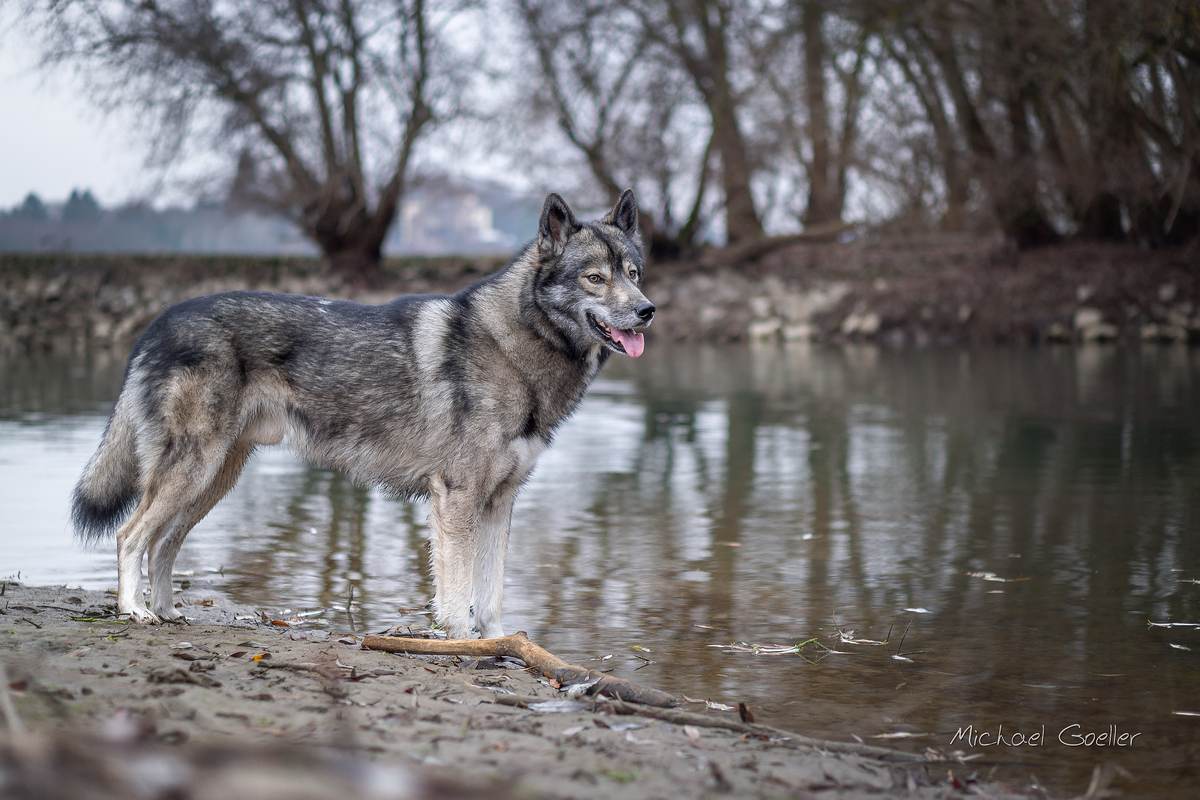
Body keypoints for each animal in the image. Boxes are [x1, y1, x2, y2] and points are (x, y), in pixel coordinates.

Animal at [72, 189, 657, 638]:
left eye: (633, 273)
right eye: (595, 278)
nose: (648, 310)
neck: (514, 346)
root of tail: (158, 321)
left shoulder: (499, 502)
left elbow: (491, 594)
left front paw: (498, 645)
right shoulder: (458, 499)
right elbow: (458, 592)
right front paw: (461, 645)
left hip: (212, 480)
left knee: (162, 544)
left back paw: (169, 611)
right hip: (192, 472)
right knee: (131, 536)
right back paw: (135, 612)